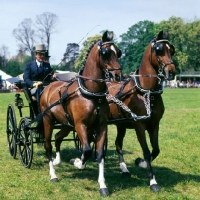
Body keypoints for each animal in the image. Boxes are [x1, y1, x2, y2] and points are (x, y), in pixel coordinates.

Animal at [39, 30, 122, 195]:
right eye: (105, 53)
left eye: (119, 52)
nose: (118, 76)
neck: (92, 93)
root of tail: (48, 87)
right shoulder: (80, 125)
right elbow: (87, 150)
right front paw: (77, 162)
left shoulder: (101, 126)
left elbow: (99, 154)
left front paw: (102, 185)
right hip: (47, 120)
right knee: (48, 145)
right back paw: (53, 174)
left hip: (66, 124)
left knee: (58, 138)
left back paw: (58, 161)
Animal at [107, 30, 176, 192]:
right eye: (159, 50)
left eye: (172, 50)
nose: (172, 72)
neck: (146, 93)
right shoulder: (139, 126)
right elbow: (146, 151)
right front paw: (153, 181)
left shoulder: (154, 125)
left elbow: (155, 150)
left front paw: (141, 163)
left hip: (121, 125)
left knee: (118, 143)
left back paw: (124, 170)